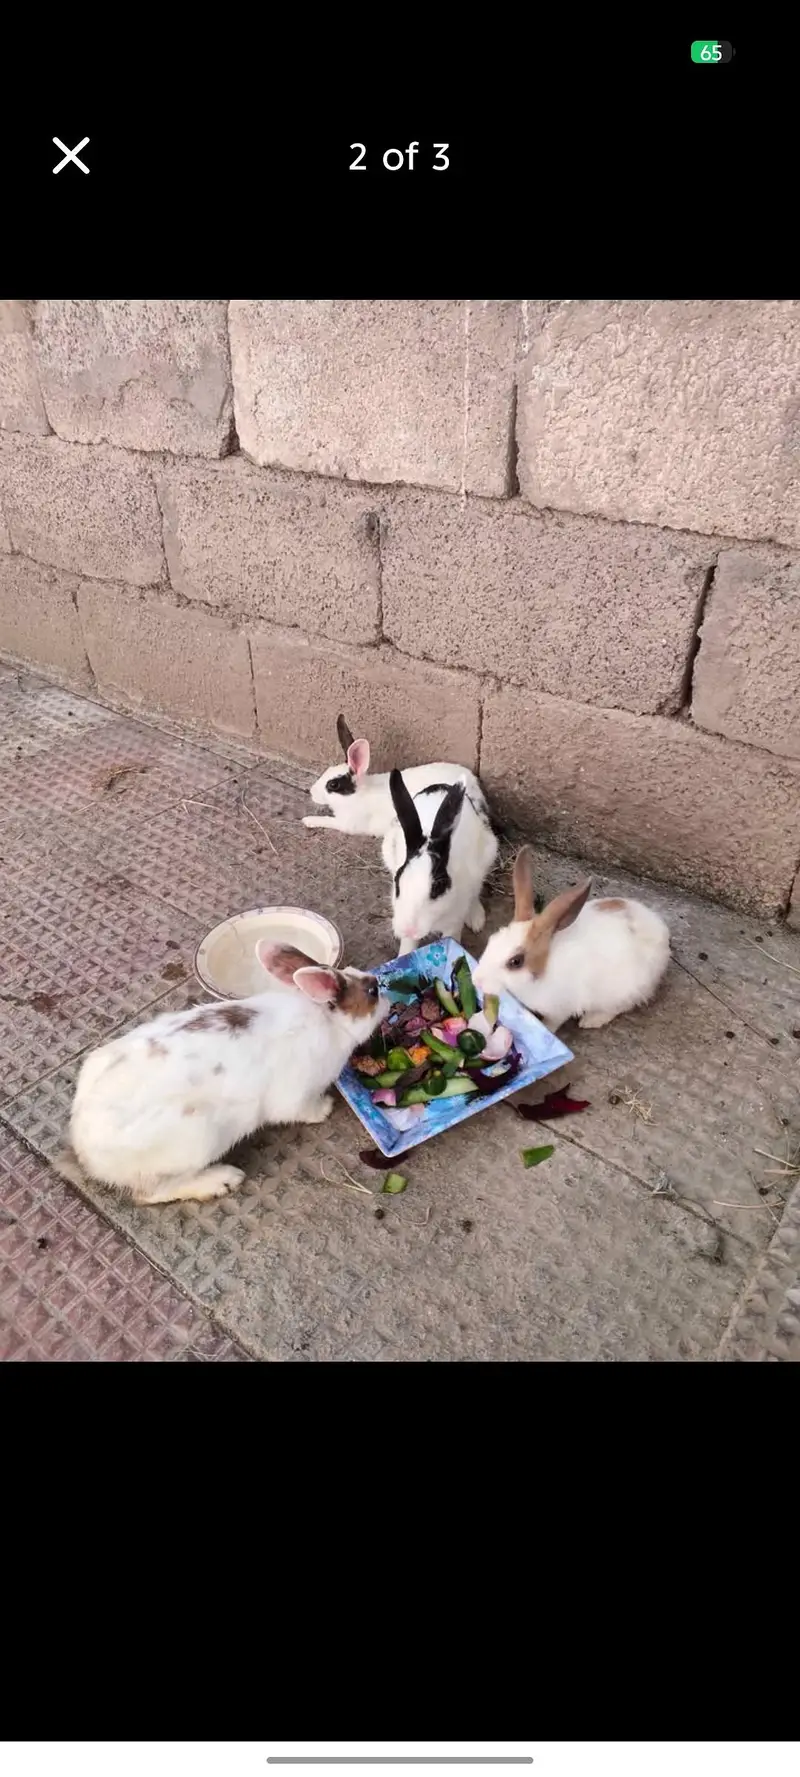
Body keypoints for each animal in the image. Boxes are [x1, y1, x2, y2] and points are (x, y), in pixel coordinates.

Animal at [54, 943, 388, 1207]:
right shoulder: (296, 1095)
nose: (385, 991)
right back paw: (222, 1181)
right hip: (197, 1139)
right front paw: (325, 1109)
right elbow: (302, 1110)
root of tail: (85, 1150)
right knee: (150, 1193)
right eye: (372, 992)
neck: (327, 1021)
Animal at [303, 712, 491, 839]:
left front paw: (307, 820)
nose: (311, 792)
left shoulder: (347, 823)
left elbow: (328, 821)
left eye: (333, 784)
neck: (358, 795)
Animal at [382, 767, 499, 956]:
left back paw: (476, 919)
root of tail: (442, 785)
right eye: (398, 882)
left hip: (488, 853)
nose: (409, 929)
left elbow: (451, 938)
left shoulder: (454, 921)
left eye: (438, 887)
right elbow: (408, 945)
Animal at [472, 847, 671, 1033]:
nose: (476, 980)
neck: (544, 969)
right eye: (492, 939)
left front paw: (548, 1029)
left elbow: (552, 1023)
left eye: (515, 961)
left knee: (618, 1007)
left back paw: (590, 1021)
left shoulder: (559, 1010)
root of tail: (660, 932)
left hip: (624, 991)